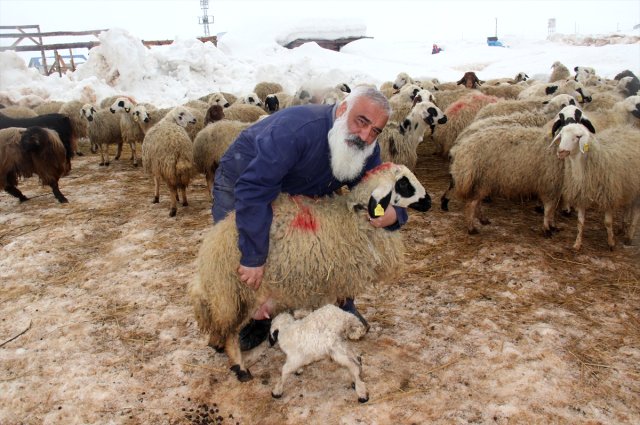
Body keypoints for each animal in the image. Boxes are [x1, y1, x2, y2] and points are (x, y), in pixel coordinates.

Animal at [188, 162, 432, 380]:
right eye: (403, 184)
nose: (429, 201)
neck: (355, 219)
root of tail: (211, 248)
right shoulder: (336, 277)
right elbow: (339, 309)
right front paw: (352, 330)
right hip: (239, 293)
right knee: (231, 334)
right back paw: (241, 368)